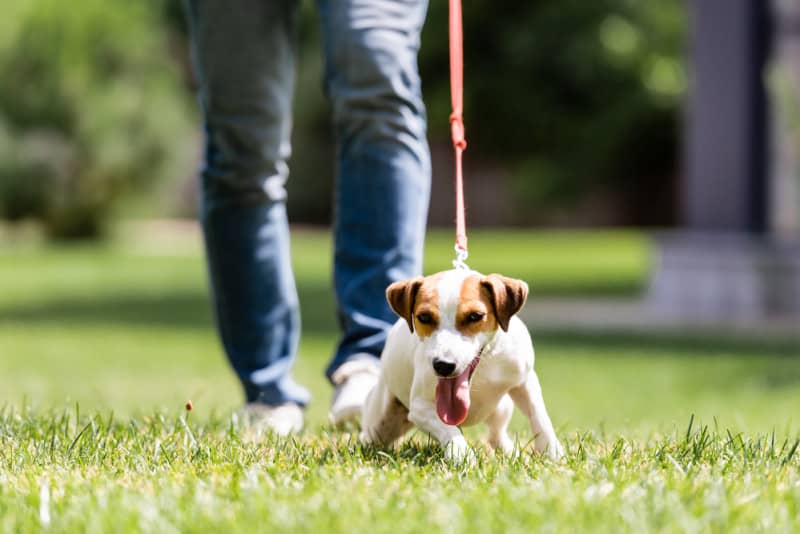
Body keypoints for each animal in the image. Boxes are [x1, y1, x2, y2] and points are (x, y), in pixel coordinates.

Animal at [360, 270, 564, 462]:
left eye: (475, 316)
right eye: (424, 317)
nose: (443, 365)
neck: (483, 366)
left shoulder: (525, 380)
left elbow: (539, 416)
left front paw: (552, 451)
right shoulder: (419, 407)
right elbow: (449, 429)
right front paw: (461, 454)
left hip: (502, 407)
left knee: (496, 434)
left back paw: (509, 451)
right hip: (379, 422)